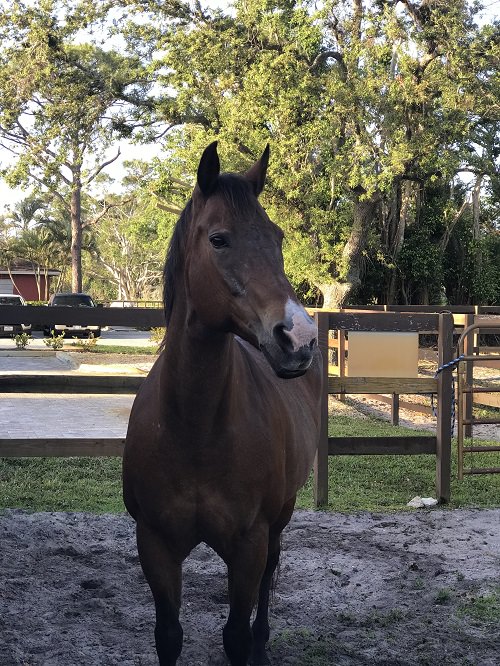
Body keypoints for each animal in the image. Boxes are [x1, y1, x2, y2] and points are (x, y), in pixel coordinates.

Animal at [123, 142, 322, 666]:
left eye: (276, 237)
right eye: (218, 239)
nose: (300, 338)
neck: (193, 428)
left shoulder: (248, 544)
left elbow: (235, 634)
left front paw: (251, 643)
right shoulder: (155, 545)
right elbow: (168, 635)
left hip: (280, 516)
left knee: (272, 574)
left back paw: (264, 643)